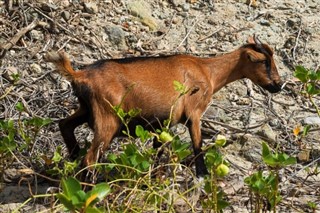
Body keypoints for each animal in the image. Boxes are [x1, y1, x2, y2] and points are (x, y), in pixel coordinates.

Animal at [46, 35, 282, 176]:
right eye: (264, 62)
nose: (278, 85)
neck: (208, 71)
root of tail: (80, 75)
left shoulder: (162, 124)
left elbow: (156, 153)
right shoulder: (194, 113)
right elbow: (198, 145)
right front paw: (203, 175)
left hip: (86, 109)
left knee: (65, 125)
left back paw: (73, 160)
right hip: (108, 118)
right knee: (90, 159)